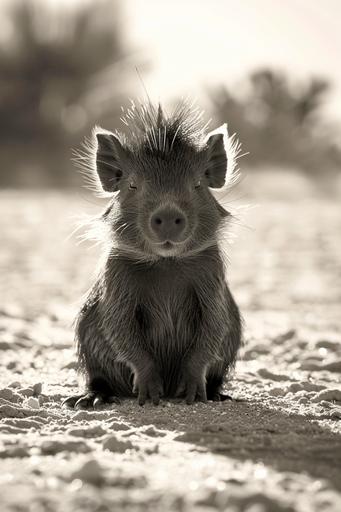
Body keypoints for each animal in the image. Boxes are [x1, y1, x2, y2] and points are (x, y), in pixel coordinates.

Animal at [63, 101, 242, 408]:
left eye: (197, 184)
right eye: (133, 185)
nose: (168, 215)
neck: (166, 263)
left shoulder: (212, 278)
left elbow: (212, 329)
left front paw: (193, 395)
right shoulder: (117, 283)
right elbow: (121, 330)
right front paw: (149, 396)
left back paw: (218, 395)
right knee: (99, 379)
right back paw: (89, 400)